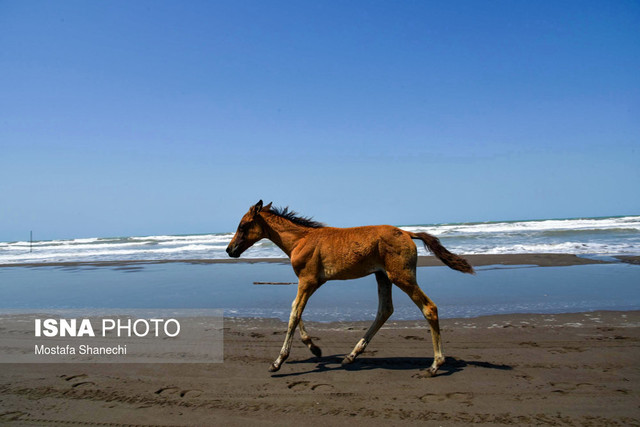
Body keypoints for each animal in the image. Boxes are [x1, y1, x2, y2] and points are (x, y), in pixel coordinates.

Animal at [226, 201, 476, 378]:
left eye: (243, 225)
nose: (230, 250)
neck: (300, 240)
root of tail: (407, 233)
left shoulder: (307, 280)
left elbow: (294, 312)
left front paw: (278, 362)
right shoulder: (311, 282)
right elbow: (296, 310)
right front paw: (314, 348)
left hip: (400, 276)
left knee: (428, 308)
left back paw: (435, 365)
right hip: (382, 276)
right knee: (385, 310)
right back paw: (351, 355)